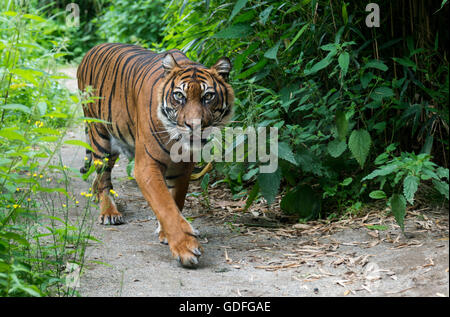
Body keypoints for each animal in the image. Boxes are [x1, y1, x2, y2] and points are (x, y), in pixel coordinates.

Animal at [77, 43, 234, 266]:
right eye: (179, 96)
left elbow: (176, 200)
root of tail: (93, 49)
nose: (194, 125)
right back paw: (109, 212)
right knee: (104, 177)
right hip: (100, 135)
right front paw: (185, 246)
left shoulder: (183, 168)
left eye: (208, 97)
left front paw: (165, 233)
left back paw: (96, 196)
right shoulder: (146, 166)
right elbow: (165, 205)